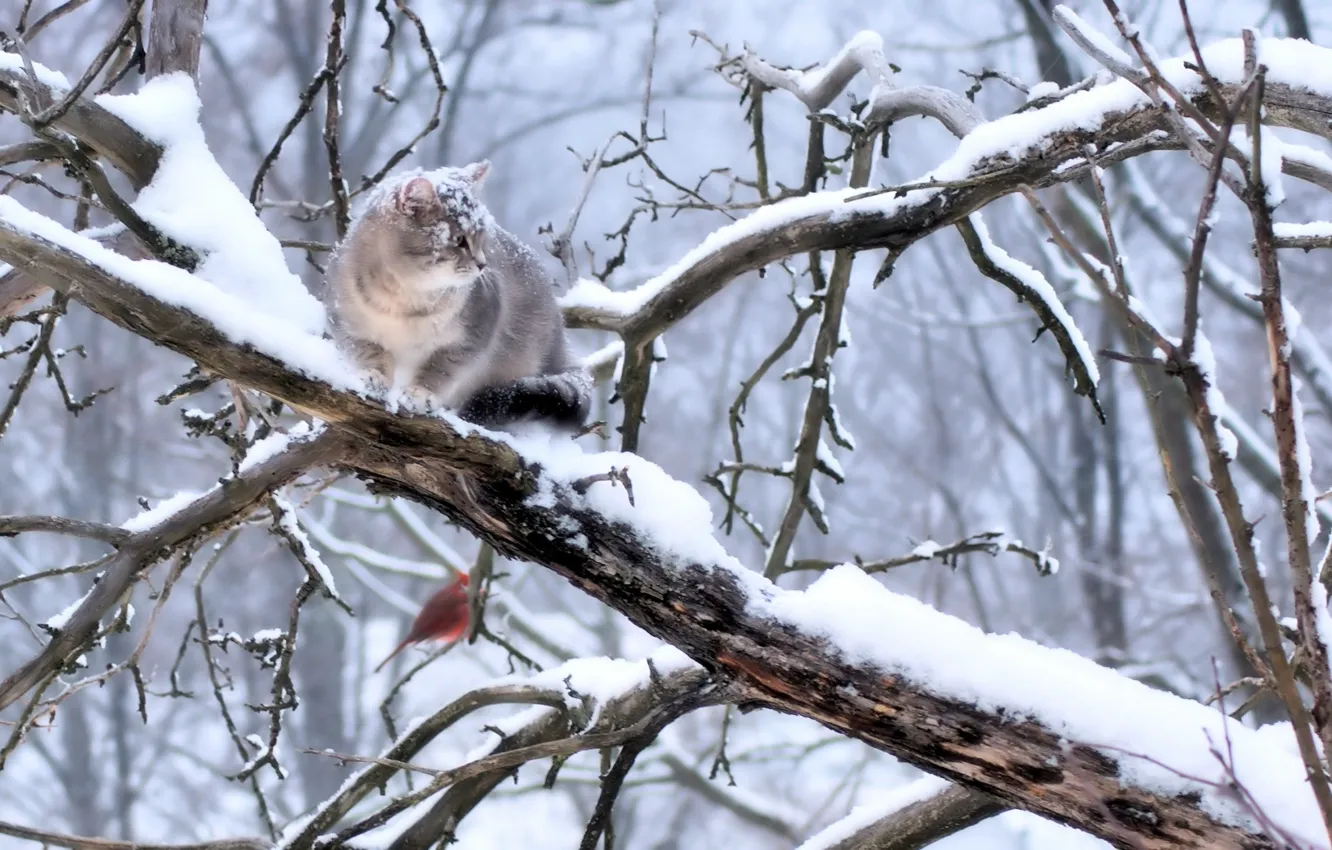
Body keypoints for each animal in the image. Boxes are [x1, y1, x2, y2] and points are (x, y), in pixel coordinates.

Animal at [325, 163, 591, 436]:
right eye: (459, 240)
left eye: (483, 237)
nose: (483, 264)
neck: (404, 301)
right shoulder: (345, 321)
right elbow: (365, 351)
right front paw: (373, 375)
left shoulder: (471, 336)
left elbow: (441, 369)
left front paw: (421, 393)